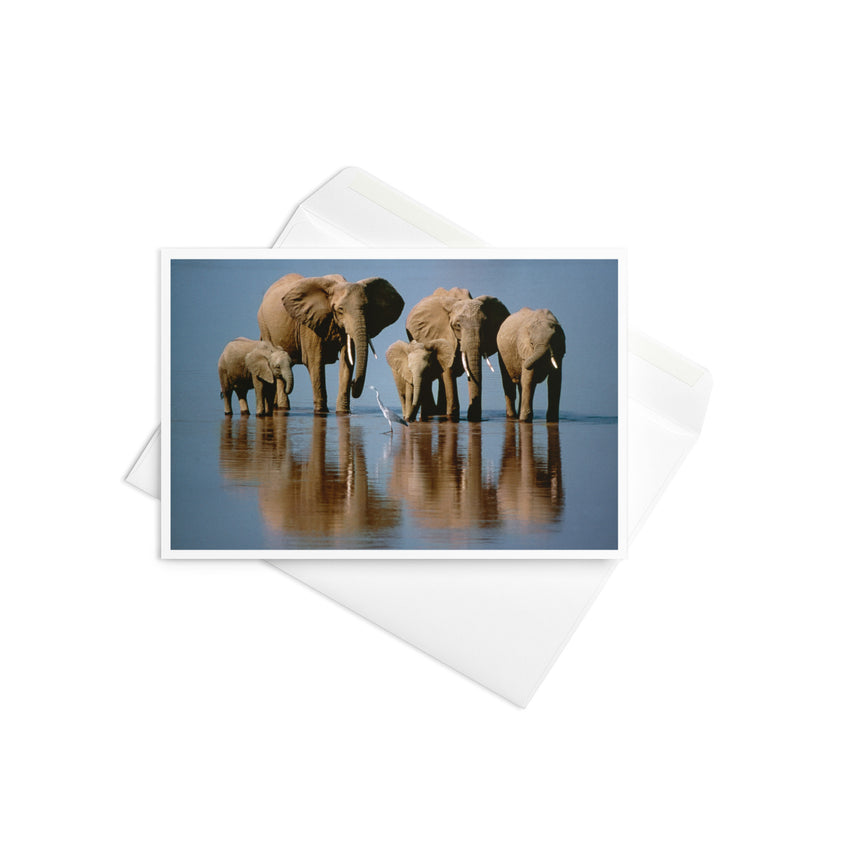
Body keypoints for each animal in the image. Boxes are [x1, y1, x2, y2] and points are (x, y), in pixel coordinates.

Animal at [257, 273, 404, 415]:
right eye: (340, 310)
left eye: (367, 309)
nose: (354, 383)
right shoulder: (309, 323)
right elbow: (315, 362)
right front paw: (321, 412)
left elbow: (347, 362)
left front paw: (343, 412)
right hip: (264, 326)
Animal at [405, 287, 510, 422]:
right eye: (458, 325)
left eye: (485, 324)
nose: (473, 416)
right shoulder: (443, 333)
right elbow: (448, 370)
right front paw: (452, 416)